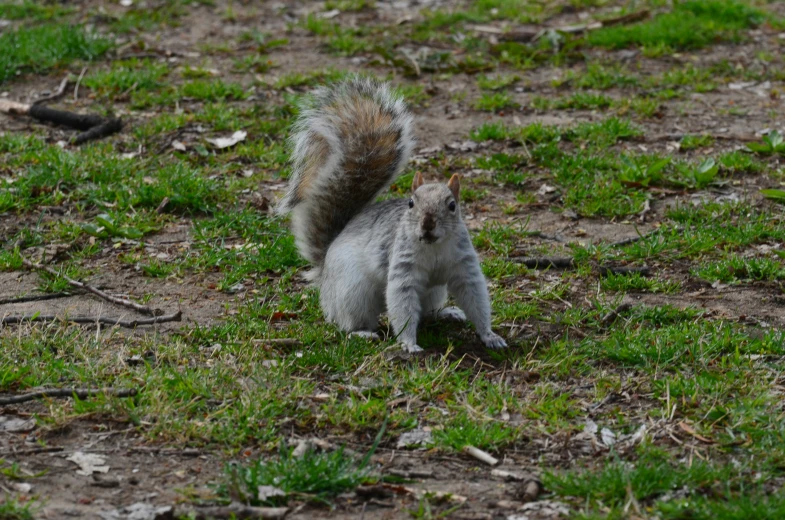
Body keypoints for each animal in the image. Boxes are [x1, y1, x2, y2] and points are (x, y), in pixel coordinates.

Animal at [278, 77, 506, 354]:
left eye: (452, 206)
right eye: (411, 203)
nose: (427, 224)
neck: (434, 247)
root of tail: (325, 270)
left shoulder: (464, 266)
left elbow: (475, 298)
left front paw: (489, 335)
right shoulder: (402, 270)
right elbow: (402, 304)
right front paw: (409, 344)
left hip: (433, 292)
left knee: (427, 312)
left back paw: (447, 313)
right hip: (353, 292)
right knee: (348, 323)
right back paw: (362, 333)